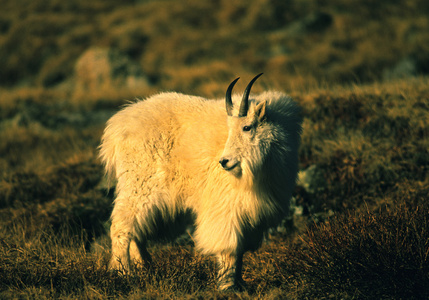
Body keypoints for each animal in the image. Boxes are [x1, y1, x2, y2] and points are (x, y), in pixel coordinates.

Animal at [99, 74, 300, 292]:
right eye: (230, 129)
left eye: (247, 127)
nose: (224, 162)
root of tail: (116, 129)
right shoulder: (225, 205)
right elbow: (229, 246)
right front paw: (227, 285)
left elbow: (241, 249)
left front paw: (240, 283)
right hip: (139, 184)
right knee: (121, 225)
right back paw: (122, 272)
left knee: (137, 230)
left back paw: (145, 267)